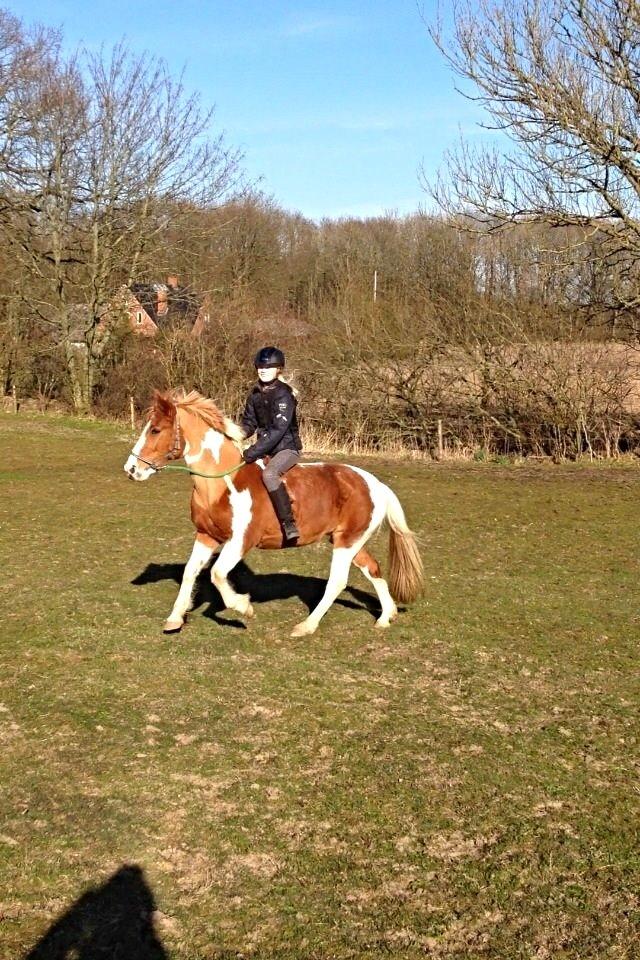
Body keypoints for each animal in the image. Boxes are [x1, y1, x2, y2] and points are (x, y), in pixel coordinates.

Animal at [125, 390, 424, 636]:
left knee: (337, 582)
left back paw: (306, 626)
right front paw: (175, 619)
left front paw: (243, 607)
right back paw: (385, 617)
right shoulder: (206, 536)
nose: (131, 469)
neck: (222, 483)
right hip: (348, 540)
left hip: (347, 543)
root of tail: (375, 484)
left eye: (155, 430)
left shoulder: (241, 541)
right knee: (373, 569)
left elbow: (217, 574)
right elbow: (190, 572)